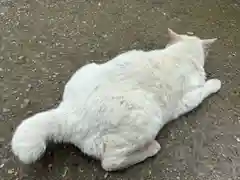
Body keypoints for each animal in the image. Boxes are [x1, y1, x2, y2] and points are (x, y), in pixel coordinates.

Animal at [11, 28, 221, 171]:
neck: (179, 54)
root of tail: (69, 114)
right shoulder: (188, 99)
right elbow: (204, 90)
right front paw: (215, 83)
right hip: (147, 116)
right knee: (110, 162)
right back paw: (151, 149)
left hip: (87, 69)